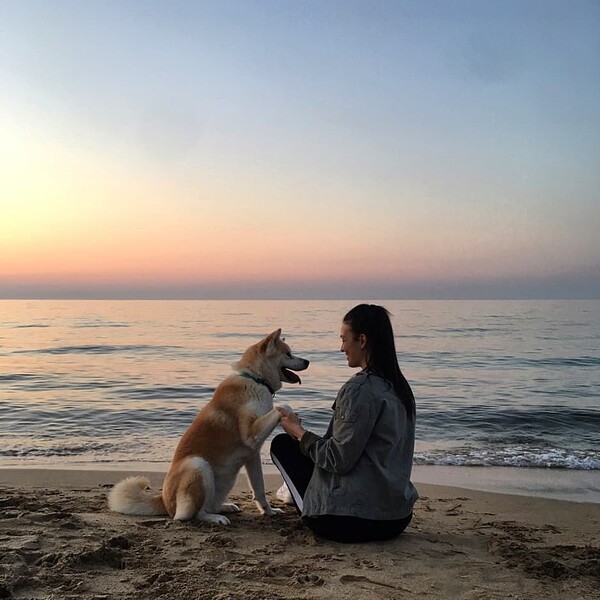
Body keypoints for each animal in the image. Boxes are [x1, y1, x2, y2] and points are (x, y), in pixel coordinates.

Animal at [106, 330, 310, 524]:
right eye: (288, 353)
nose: (307, 361)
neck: (255, 379)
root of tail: (163, 501)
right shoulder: (251, 432)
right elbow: (283, 406)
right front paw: (290, 415)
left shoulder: (252, 455)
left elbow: (259, 490)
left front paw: (269, 511)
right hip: (198, 465)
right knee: (191, 515)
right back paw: (215, 518)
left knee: (209, 506)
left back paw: (226, 507)